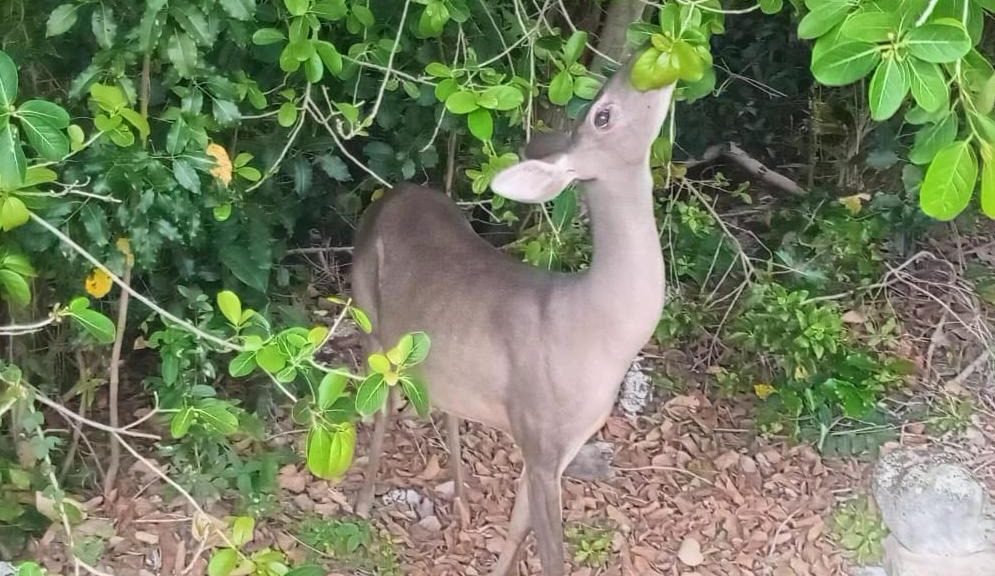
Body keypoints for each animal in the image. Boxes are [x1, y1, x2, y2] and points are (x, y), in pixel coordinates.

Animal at [349, 47, 675, 575]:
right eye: (603, 114)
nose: (646, 56)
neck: (596, 330)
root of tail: (392, 193)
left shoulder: (556, 444)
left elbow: (518, 528)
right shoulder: (539, 431)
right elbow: (550, 552)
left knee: (442, 400)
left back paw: (462, 502)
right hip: (368, 314)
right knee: (380, 399)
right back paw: (362, 501)